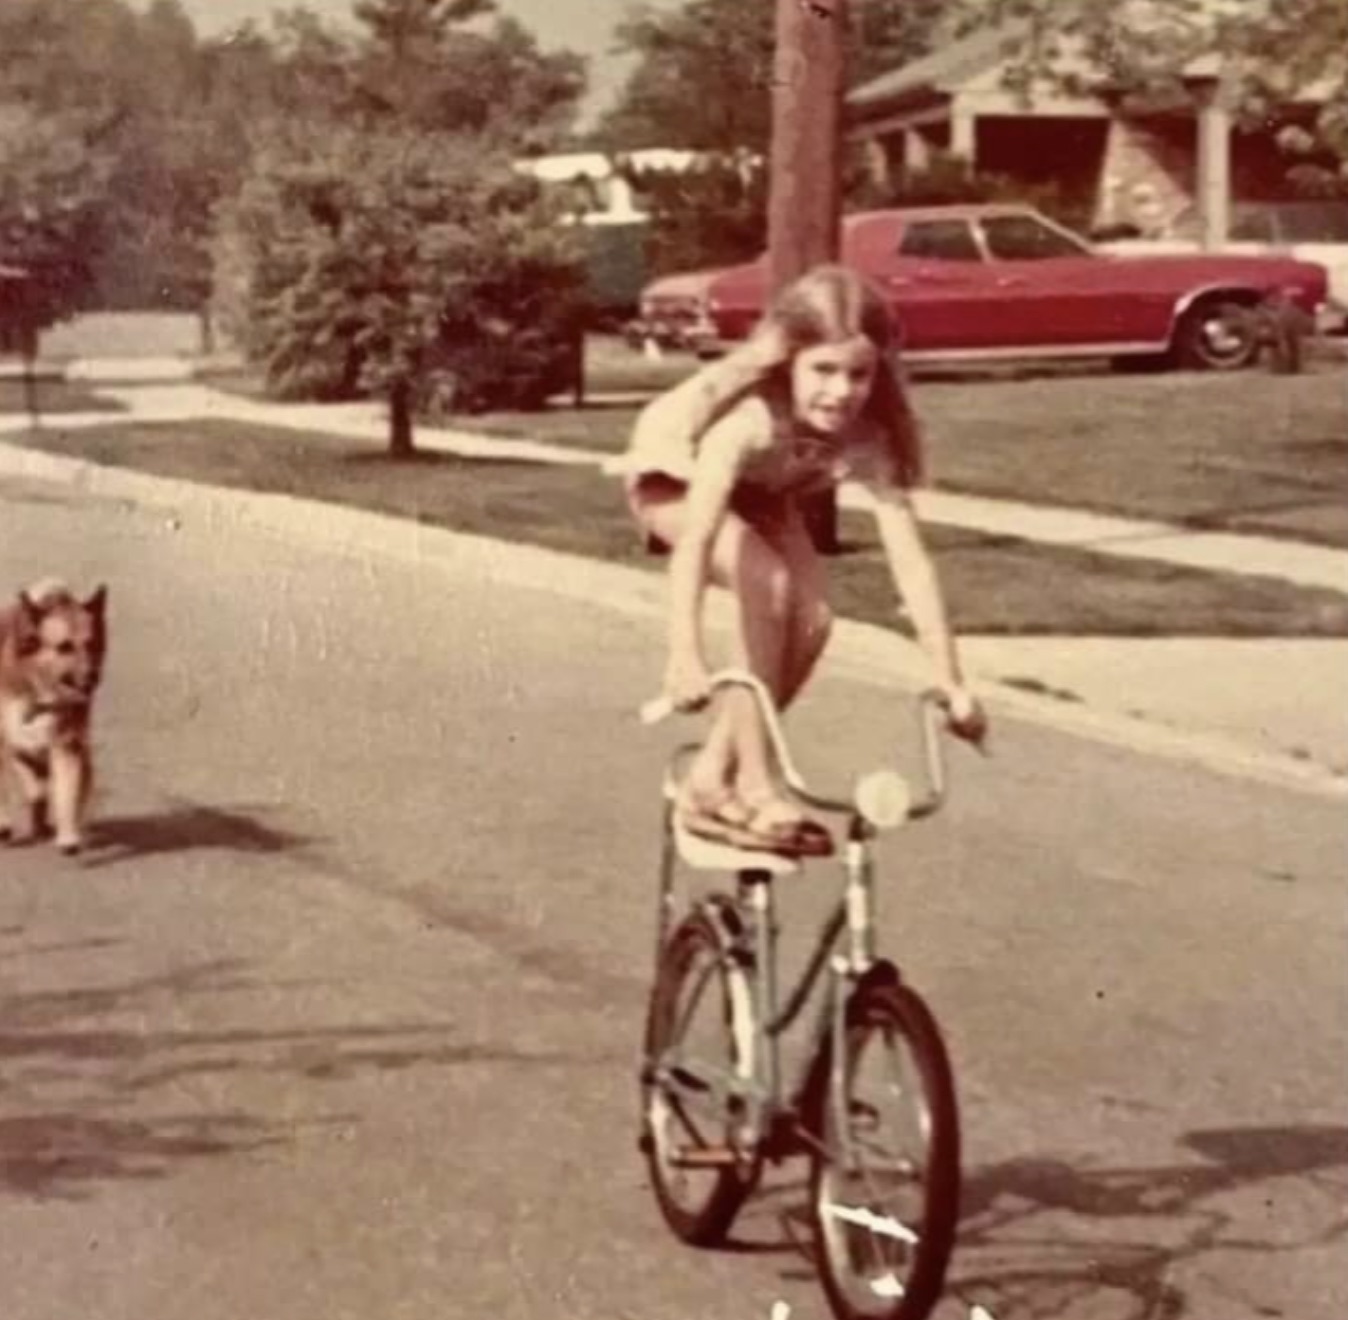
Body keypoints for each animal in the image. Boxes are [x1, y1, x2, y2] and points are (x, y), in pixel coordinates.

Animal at [0, 579, 106, 857]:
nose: (93, 677)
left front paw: (68, 836)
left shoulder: (66, 746)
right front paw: (5, 825)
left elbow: (65, 792)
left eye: (91, 644)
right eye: (64, 647)